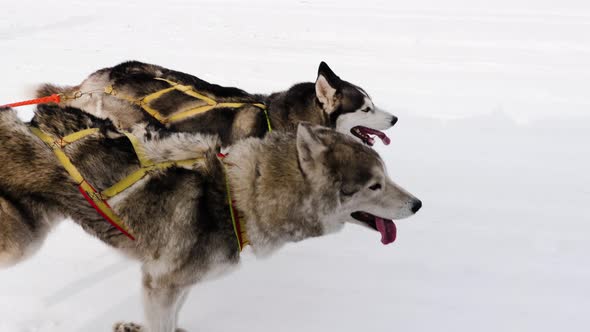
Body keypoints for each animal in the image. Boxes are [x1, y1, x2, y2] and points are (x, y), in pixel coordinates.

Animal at [0, 105, 420, 330]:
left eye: (386, 176)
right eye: (374, 185)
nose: (417, 205)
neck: (236, 198)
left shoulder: (176, 285)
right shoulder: (160, 284)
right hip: (22, 244)